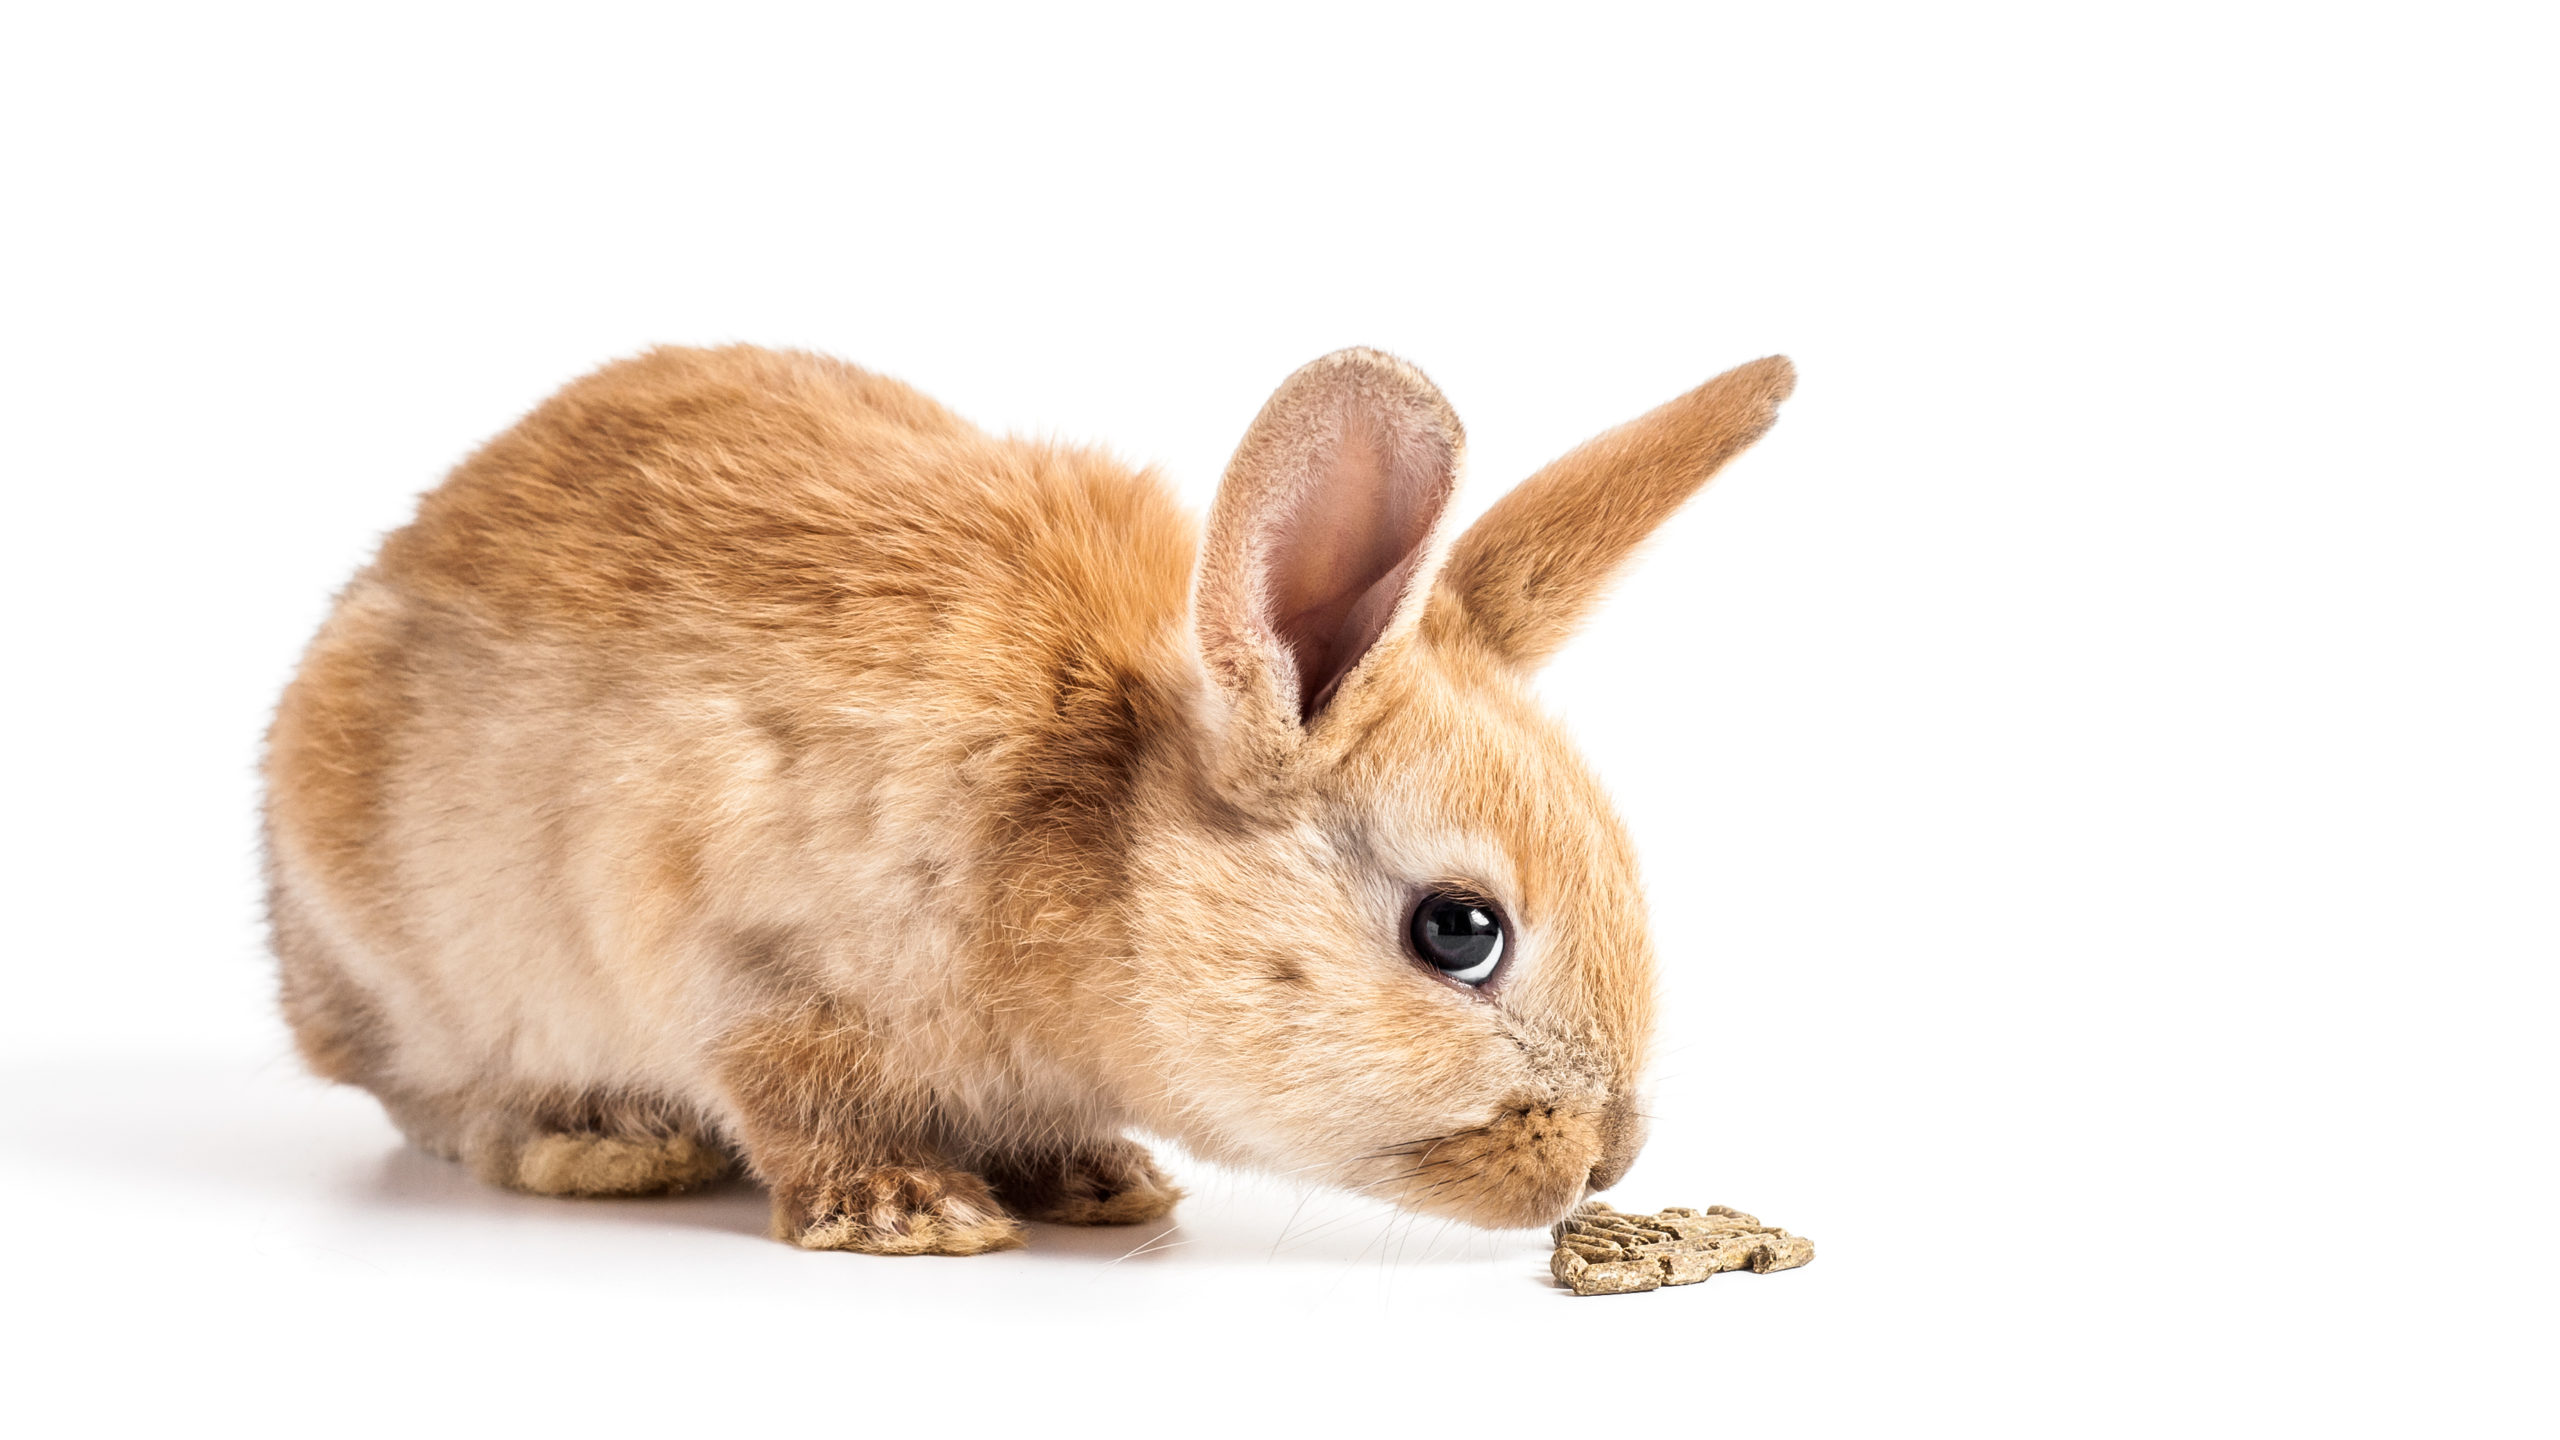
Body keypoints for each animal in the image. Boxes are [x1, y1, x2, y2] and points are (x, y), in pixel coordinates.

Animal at [254, 340, 1781, 1250]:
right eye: (1459, 932)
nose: (1609, 1164)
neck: (1098, 842)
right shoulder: (739, 948)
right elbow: (799, 1095)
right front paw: (910, 1213)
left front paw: (1094, 1181)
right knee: (451, 1106)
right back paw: (604, 1144)